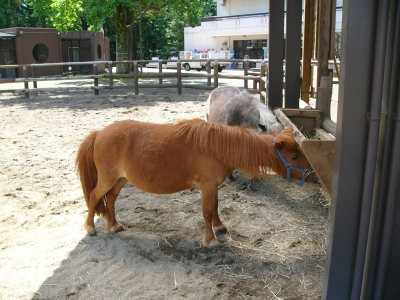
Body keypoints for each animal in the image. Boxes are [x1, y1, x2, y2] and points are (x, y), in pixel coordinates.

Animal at [76, 118, 312, 247]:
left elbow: (215, 208)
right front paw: (211, 240)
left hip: (120, 180)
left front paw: (220, 226)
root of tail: (99, 133)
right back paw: (91, 228)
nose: (311, 174)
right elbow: (207, 212)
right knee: (95, 197)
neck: (217, 147)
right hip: (107, 179)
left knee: (111, 200)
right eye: (294, 156)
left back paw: (114, 225)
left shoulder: (213, 187)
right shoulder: (207, 186)